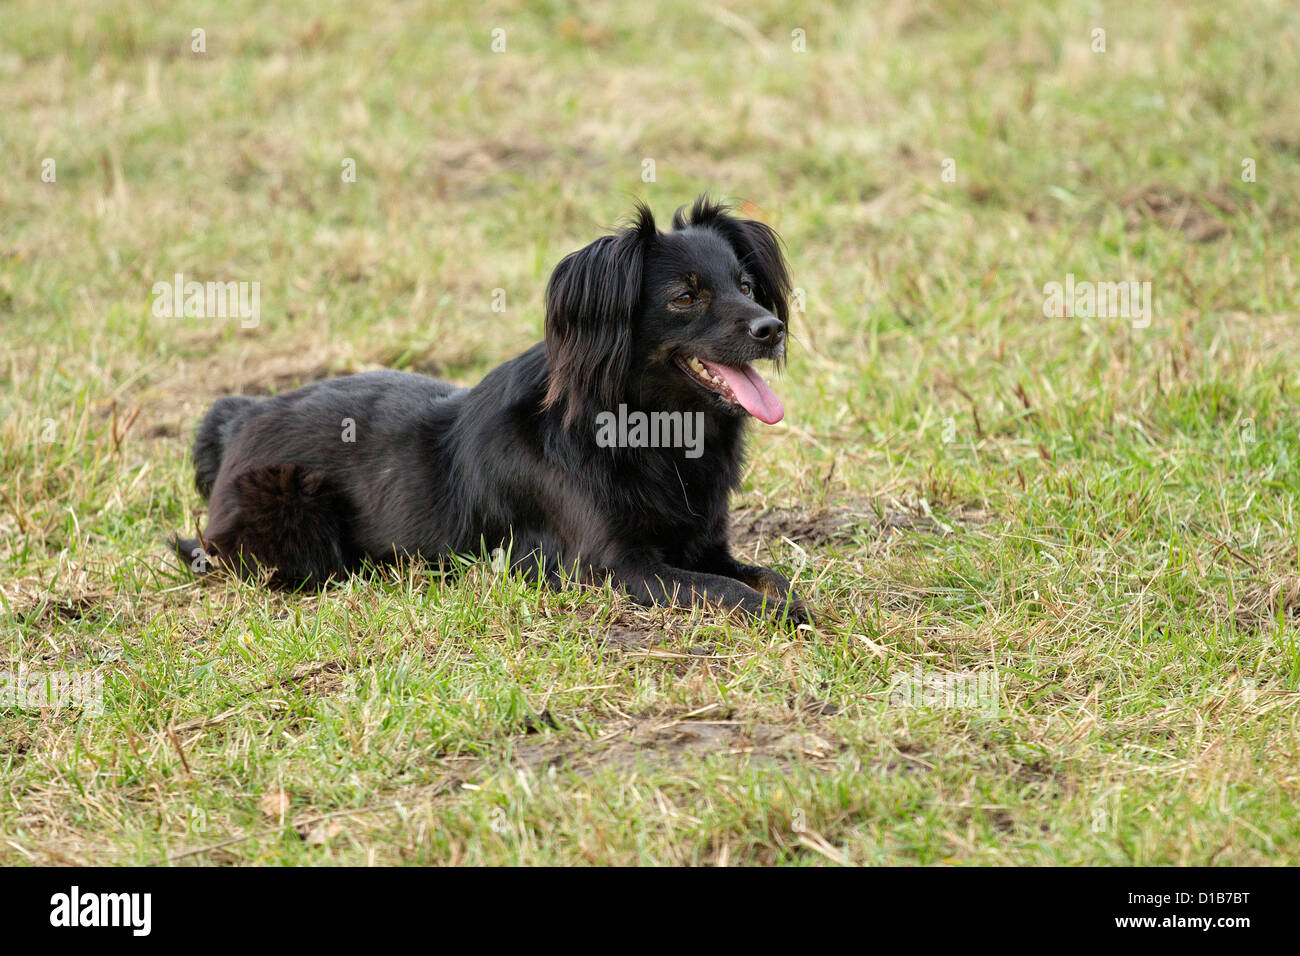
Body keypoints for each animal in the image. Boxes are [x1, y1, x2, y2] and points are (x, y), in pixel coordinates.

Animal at [178, 197, 806, 624]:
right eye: (685, 297)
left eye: (747, 284)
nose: (771, 329)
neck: (654, 428)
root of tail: (241, 416)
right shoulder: (613, 566)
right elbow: (723, 590)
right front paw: (781, 612)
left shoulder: (707, 545)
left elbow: (764, 575)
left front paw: (789, 597)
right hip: (293, 511)